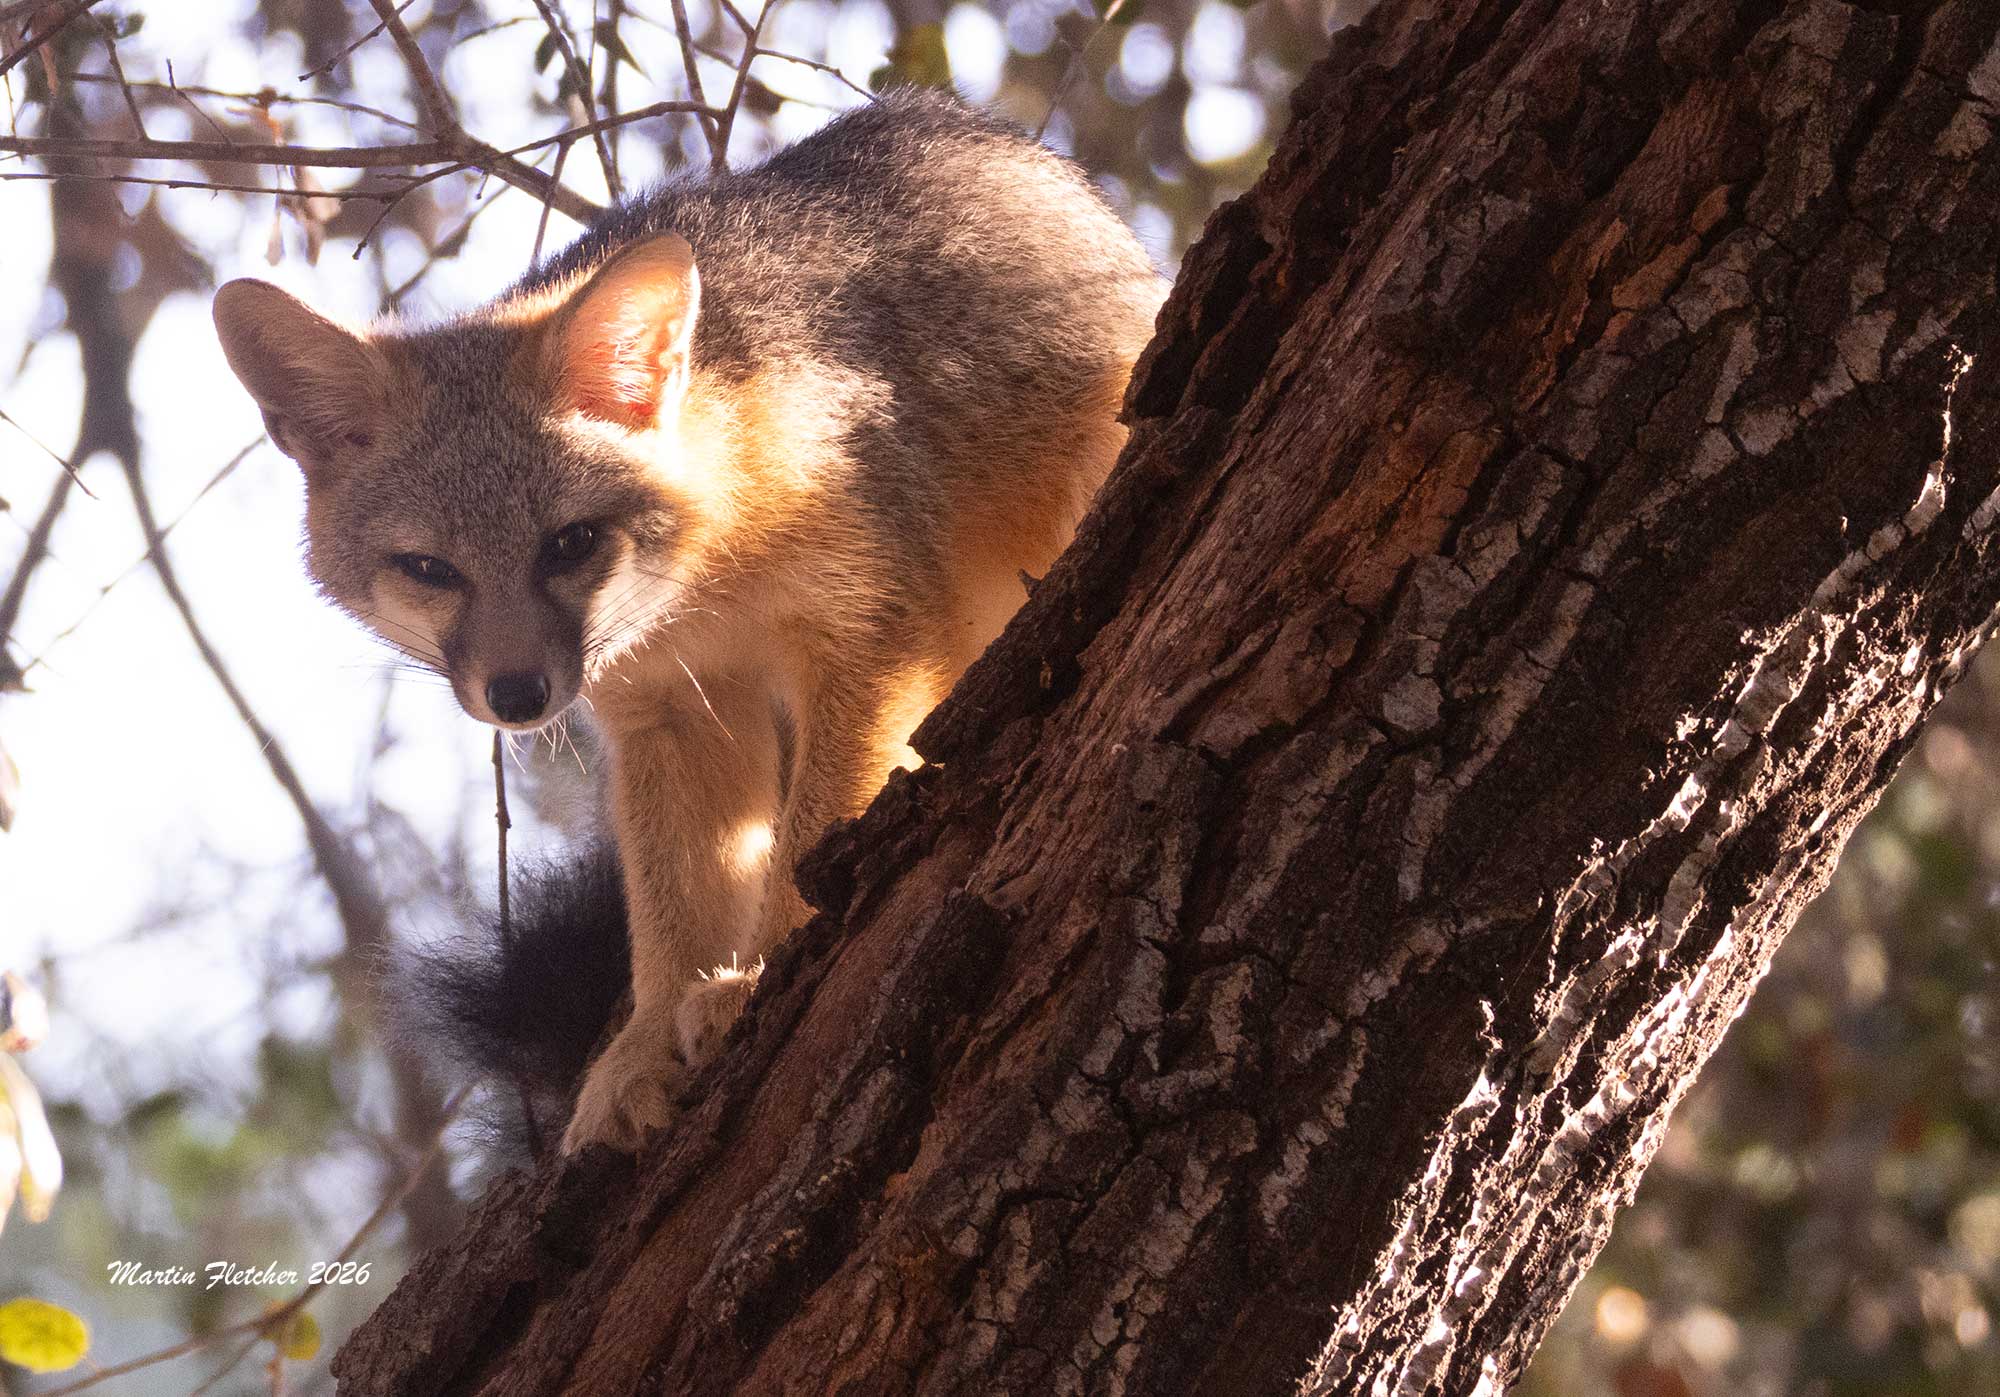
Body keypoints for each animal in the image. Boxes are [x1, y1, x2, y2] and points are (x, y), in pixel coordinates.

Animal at [211, 88, 1166, 1154]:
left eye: (571, 542)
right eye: (429, 569)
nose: (517, 694)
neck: (712, 581)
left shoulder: (873, 635)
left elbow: (814, 836)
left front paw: (761, 972)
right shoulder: (672, 709)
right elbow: (673, 911)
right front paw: (641, 1047)